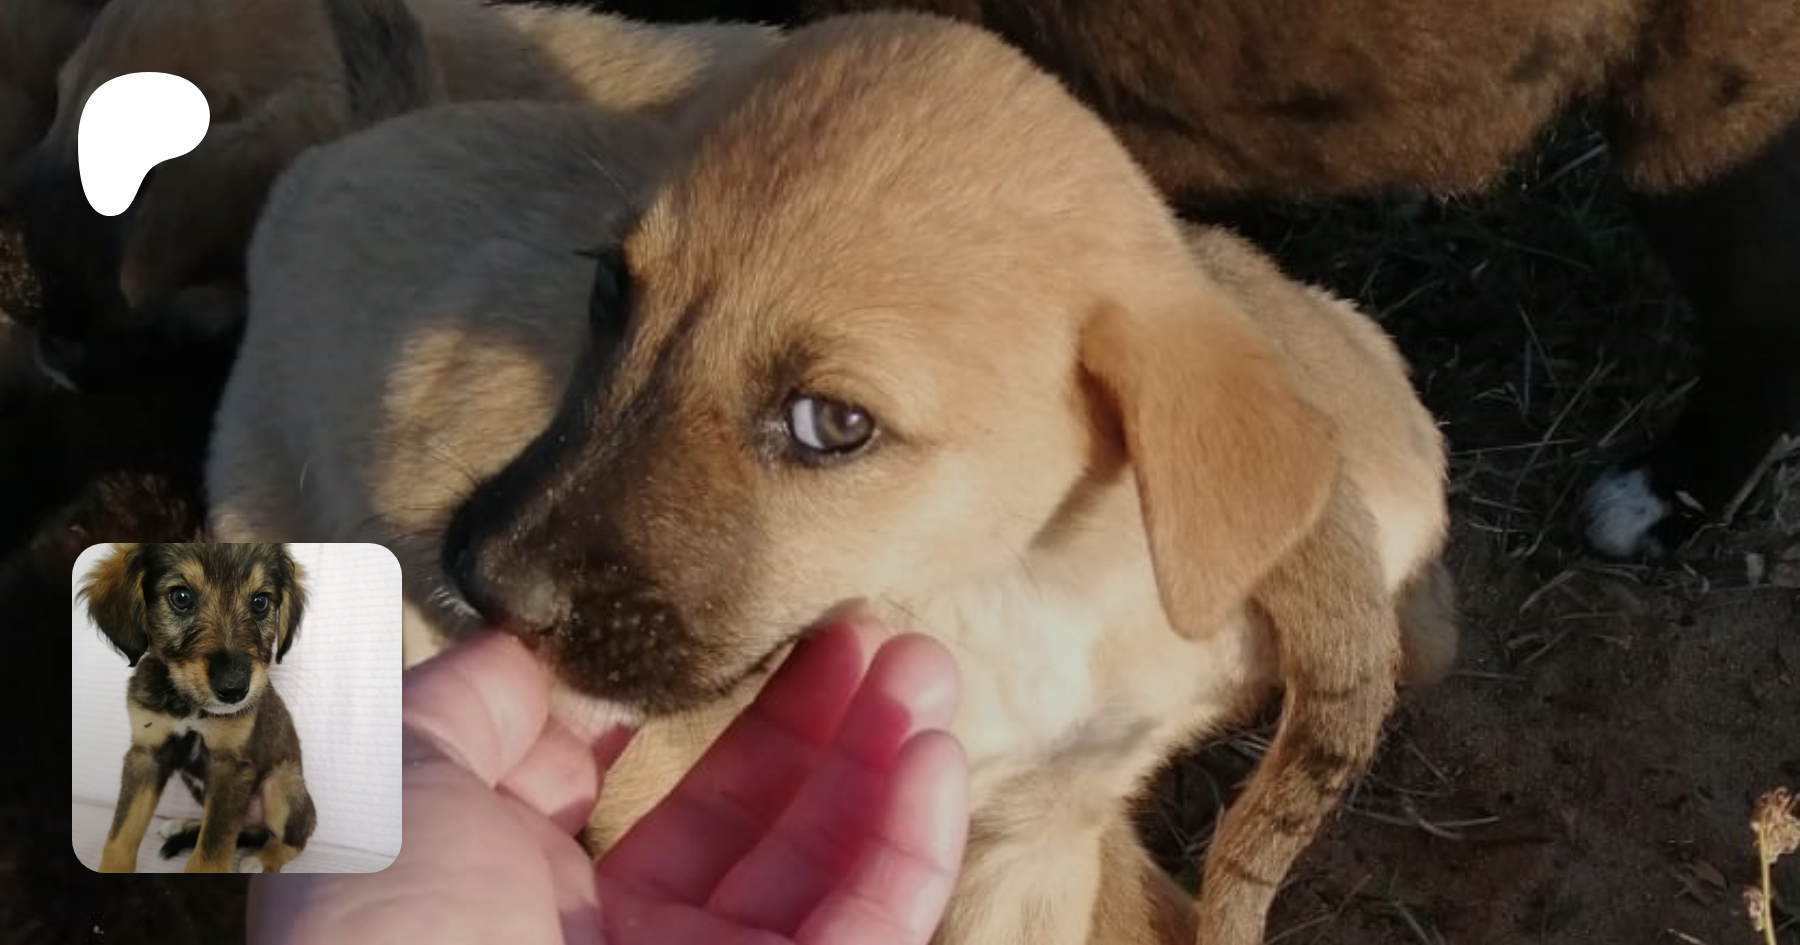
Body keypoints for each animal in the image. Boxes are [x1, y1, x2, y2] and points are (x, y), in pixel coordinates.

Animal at [78, 542, 314, 874]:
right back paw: (185, 825)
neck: (187, 706)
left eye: (260, 602)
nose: (234, 690)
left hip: (282, 783)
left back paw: (262, 858)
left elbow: (211, 851)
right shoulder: (146, 755)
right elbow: (121, 833)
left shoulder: (231, 767)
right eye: (181, 597)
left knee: (295, 838)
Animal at [207, 13, 1457, 942]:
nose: (481, 581)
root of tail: (354, 143)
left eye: (832, 425)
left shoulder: (1037, 834)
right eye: (611, 292)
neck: (1017, 595)